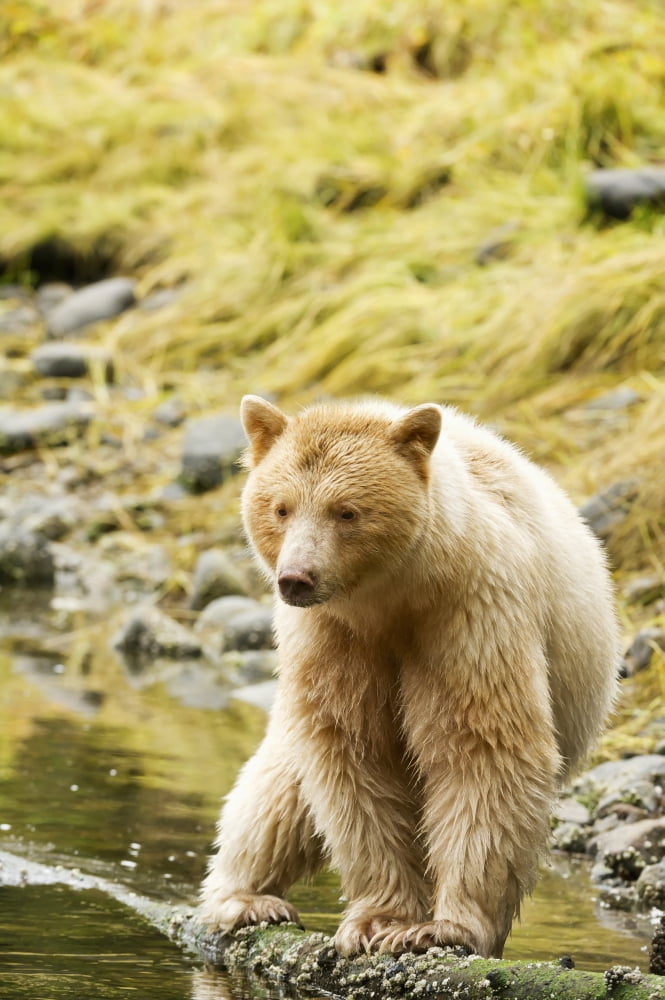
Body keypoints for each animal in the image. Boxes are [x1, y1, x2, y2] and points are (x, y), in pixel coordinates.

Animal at [200, 394, 619, 959]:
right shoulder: (332, 637)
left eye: (347, 510)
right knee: (277, 794)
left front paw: (440, 927)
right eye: (281, 507)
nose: (296, 578)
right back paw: (245, 899)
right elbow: (353, 752)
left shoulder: (473, 612)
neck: (391, 599)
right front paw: (381, 919)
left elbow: (482, 745)